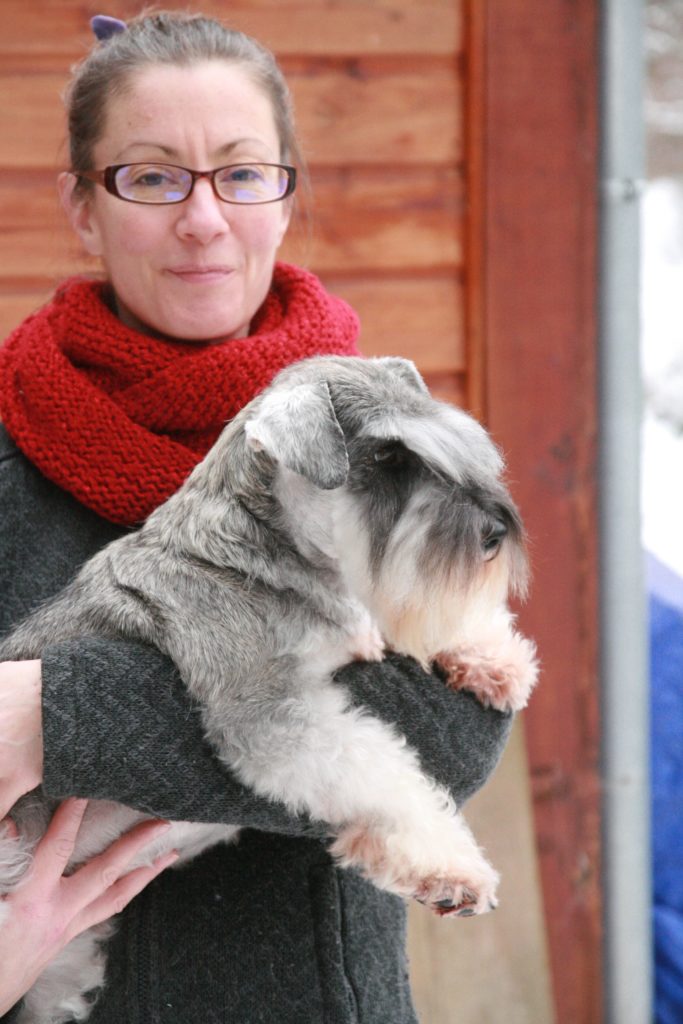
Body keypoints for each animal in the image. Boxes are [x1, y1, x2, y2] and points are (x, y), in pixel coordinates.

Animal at [0, 354, 540, 1024]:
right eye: (389, 457)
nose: (494, 531)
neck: (261, 555)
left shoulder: (357, 626)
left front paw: (491, 655)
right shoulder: (270, 717)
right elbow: (383, 774)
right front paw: (451, 868)